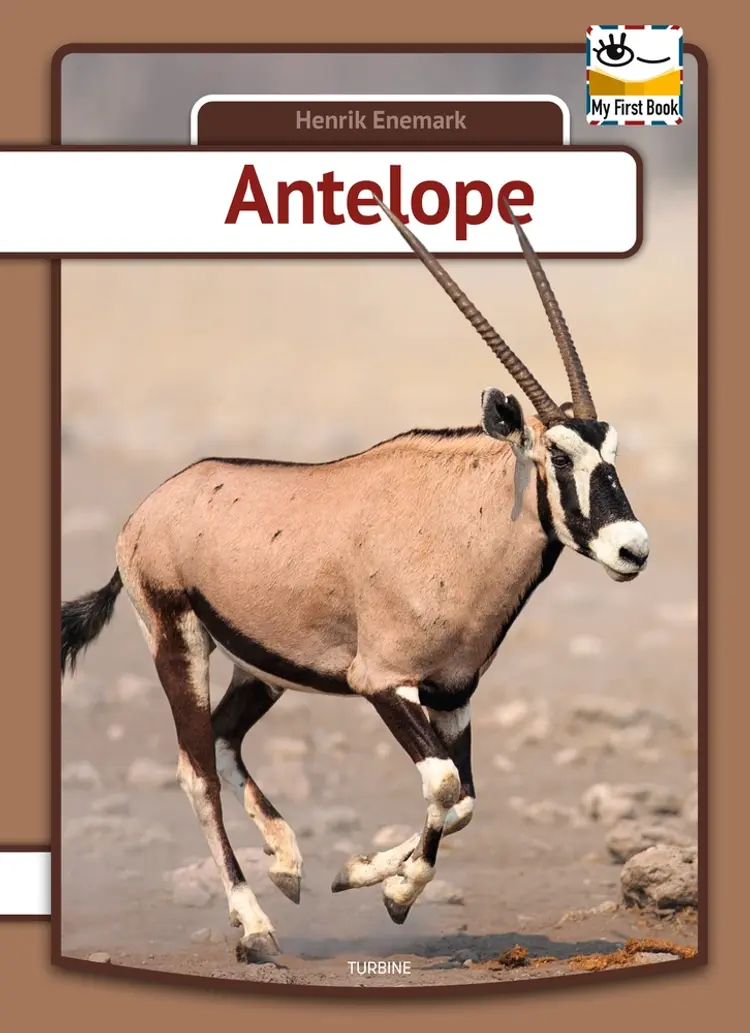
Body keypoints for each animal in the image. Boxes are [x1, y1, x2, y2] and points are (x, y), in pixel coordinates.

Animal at [61, 199, 649, 964]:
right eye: (556, 454)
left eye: (610, 451)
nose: (632, 547)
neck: (460, 522)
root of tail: (149, 508)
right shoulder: (383, 682)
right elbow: (445, 783)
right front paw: (386, 883)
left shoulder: (452, 692)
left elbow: (462, 798)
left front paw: (370, 876)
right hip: (177, 640)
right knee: (196, 769)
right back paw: (254, 923)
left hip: (263, 669)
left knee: (222, 737)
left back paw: (287, 862)